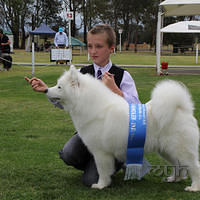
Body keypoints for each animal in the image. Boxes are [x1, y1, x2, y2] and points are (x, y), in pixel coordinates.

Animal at [46, 65, 200, 191]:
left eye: (59, 87)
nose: (46, 90)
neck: (90, 104)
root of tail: (181, 108)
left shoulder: (101, 153)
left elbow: (102, 171)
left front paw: (101, 185)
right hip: (167, 150)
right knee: (178, 165)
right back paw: (174, 179)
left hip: (180, 149)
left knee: (194, 166)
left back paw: (194, 187)